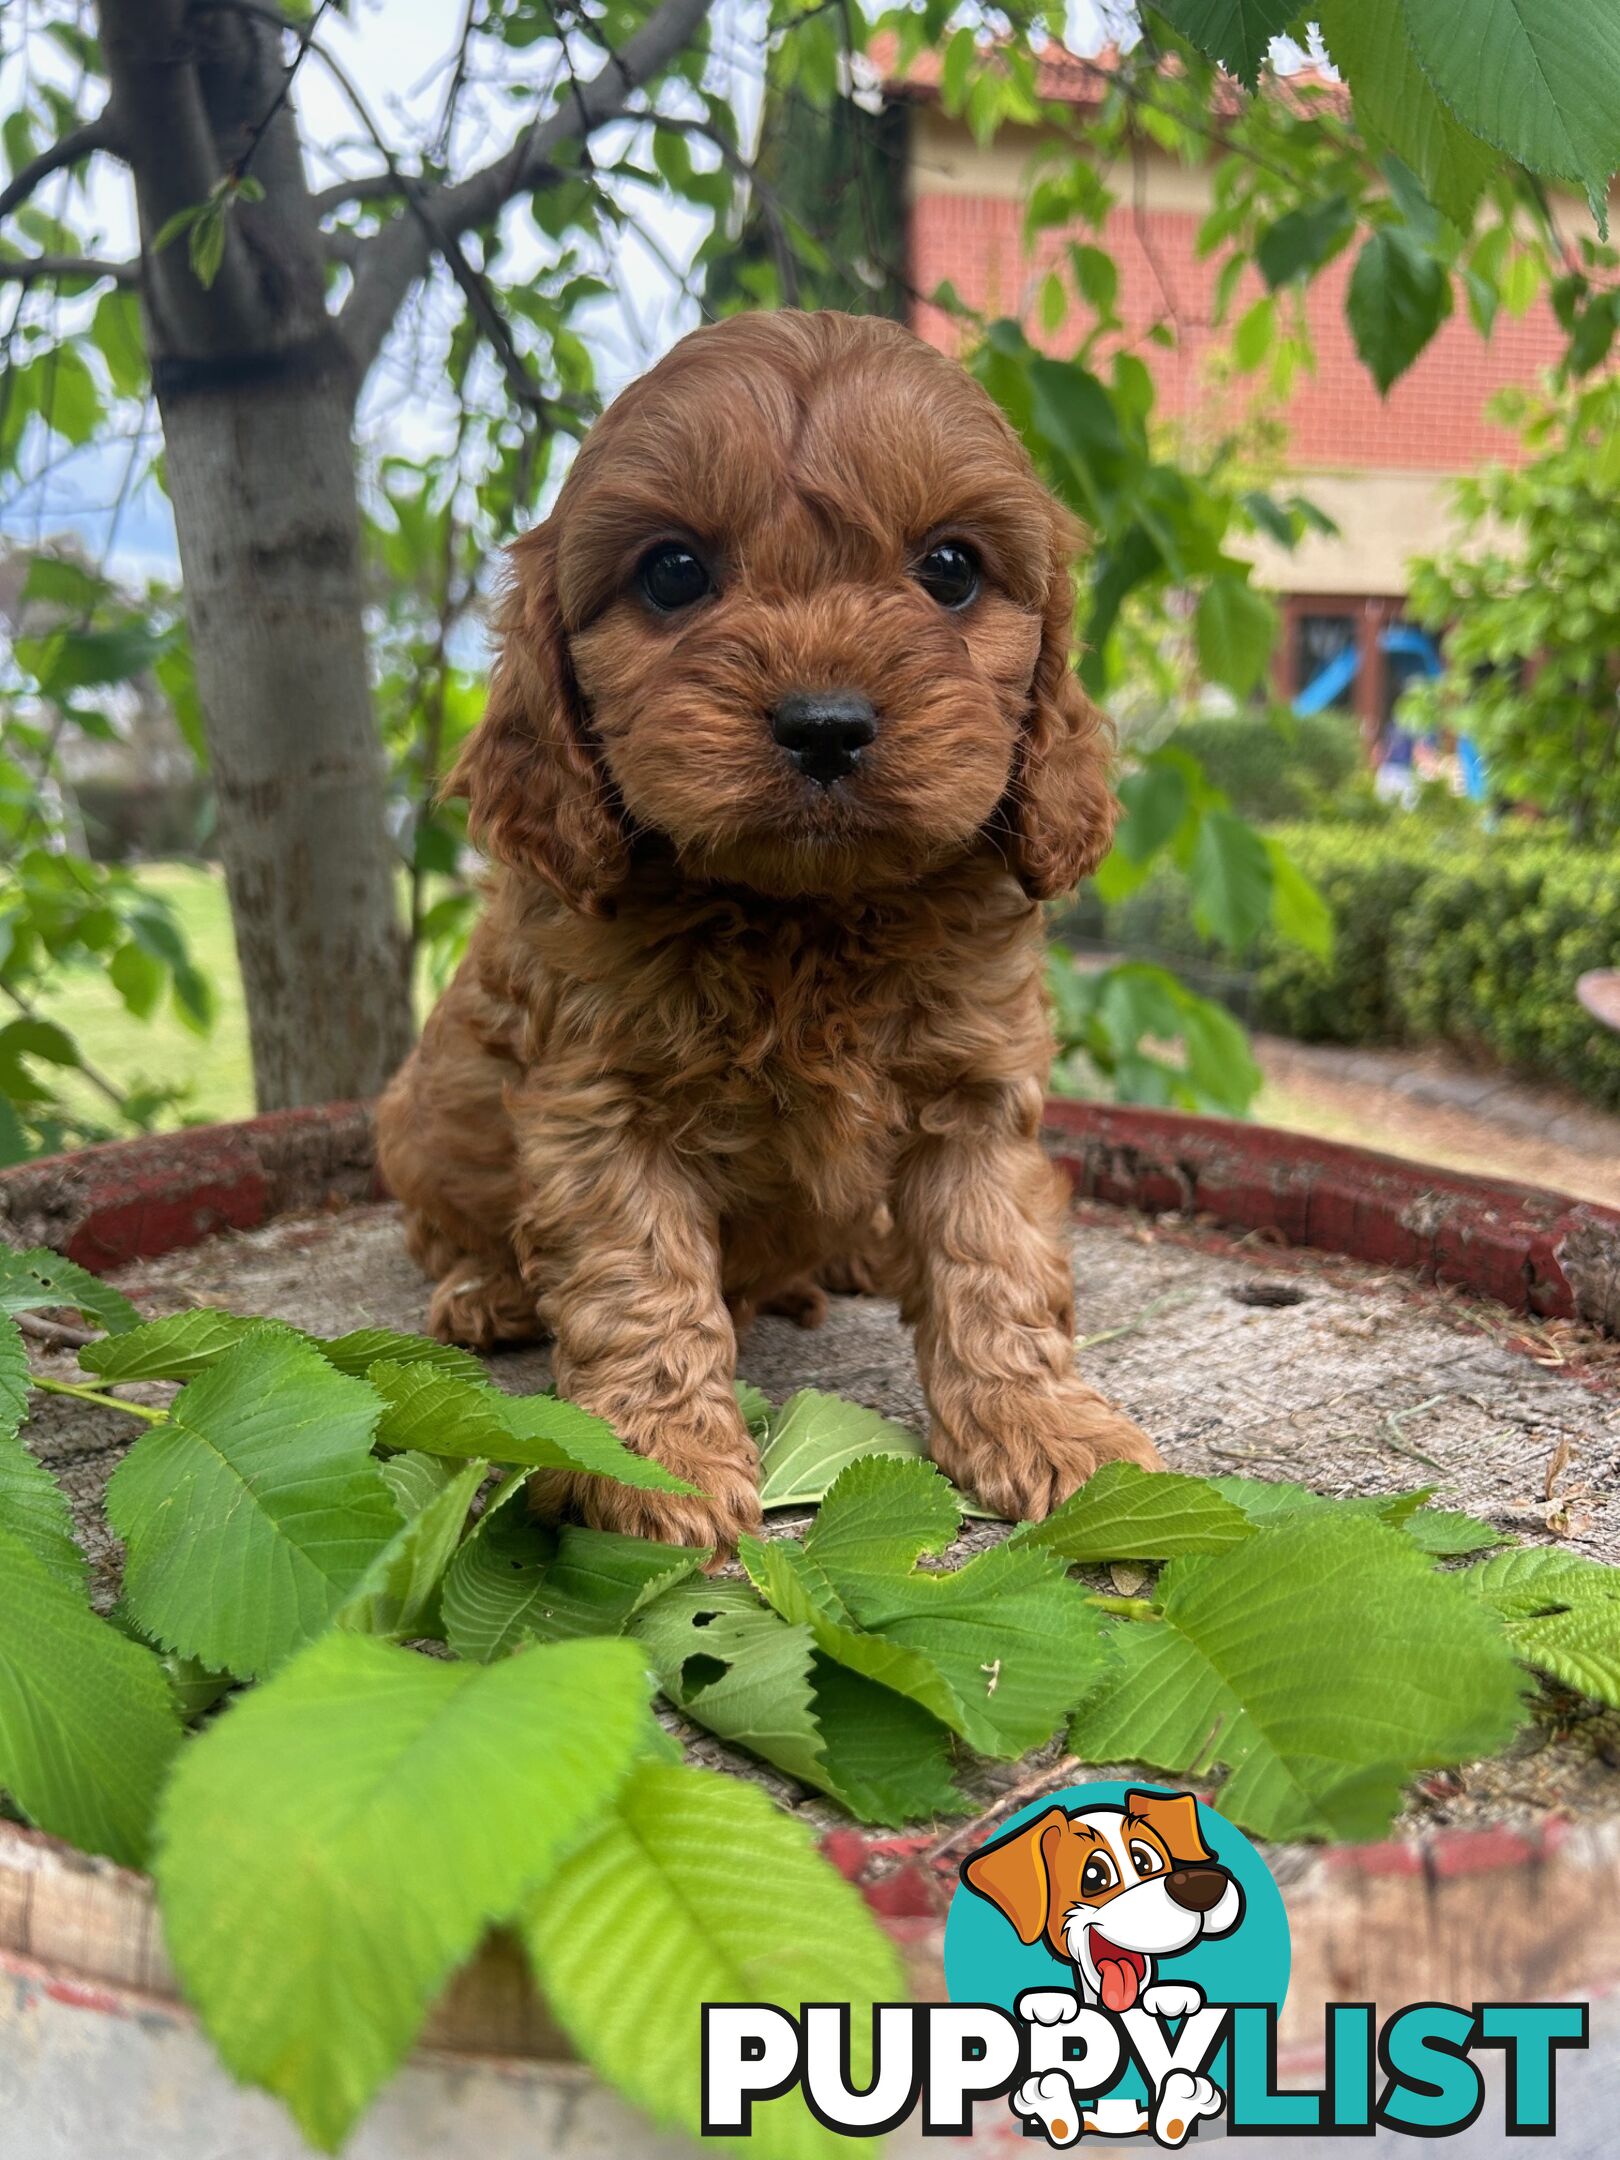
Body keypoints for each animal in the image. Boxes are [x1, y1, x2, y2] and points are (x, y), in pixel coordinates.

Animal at [378, 308, 1166, 1555]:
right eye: (672, 572)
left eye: (951, 568)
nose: (826, 725)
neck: (810, 914)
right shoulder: (598, 1105)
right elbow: (639, 1278)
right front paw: (656, 1462)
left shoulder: (977, 1093)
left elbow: (995, 1261)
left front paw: (1051, 1431)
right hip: (416, 1124)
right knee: (443, 1229)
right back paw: (487, 1290)